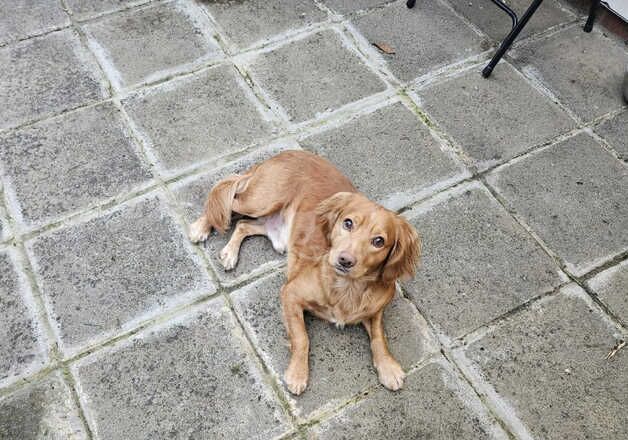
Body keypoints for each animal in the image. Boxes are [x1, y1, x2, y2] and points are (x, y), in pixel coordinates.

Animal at [188, 151, 422, 396]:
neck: (347, 287)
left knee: (242, 224)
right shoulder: (290, 294)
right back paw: (201, 228)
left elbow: (379, 337)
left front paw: (388, 366)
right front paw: (298, 373)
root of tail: (285, 153)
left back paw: (230, 252)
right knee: (226, 196)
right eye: (348, 223)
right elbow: (302, 338)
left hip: (270, 223)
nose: (345, 260)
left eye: (379, 241)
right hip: (260, 201)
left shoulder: (375, 311)